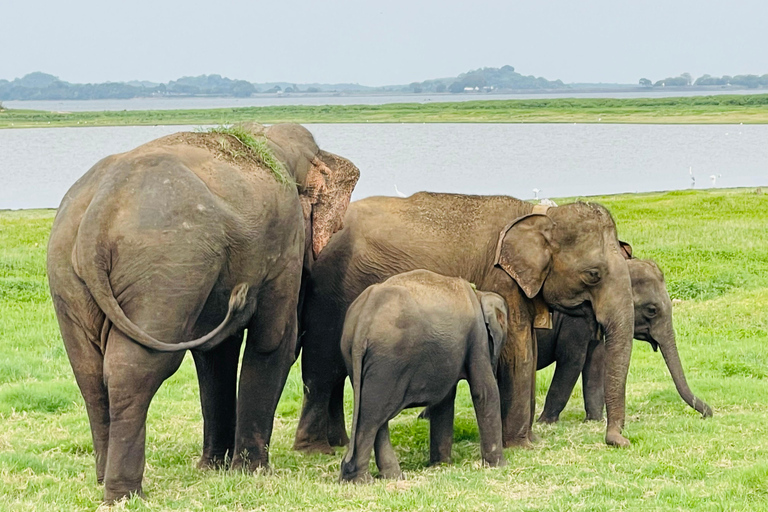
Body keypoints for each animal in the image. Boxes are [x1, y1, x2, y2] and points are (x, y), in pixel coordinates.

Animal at [46, 123, 359, 502]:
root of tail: (99, 213)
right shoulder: (285, 241)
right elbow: (272, 342)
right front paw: (254, 472)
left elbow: (215, 355)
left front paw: (215, 468)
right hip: (167, 265)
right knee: (137, 368)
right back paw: (125, 493)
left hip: (67, 273)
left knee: (89, 374)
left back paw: (102, 479)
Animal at [294, 193, 635, 455]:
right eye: (593, 274)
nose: (620, 442)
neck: (538, 214)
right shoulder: (500, 279)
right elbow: (519, 353)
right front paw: (522, 446)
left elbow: (530, 348)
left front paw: (531, 440)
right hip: (329, 293)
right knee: (322, 367)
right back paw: (314, 450)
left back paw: (338, 442)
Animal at [339, 270, 508, 482]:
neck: (479, 294)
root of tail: (364, 316)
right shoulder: (477, 337)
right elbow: (484, 391)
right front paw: (499, 465)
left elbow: (444, 401)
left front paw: (441, 464)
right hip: (389, 360)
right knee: (372, 417)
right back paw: (362, 480)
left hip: (353, 353)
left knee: (374, 412)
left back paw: (389, 476)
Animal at [536, 258, 713, 423]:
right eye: (651, 310)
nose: (707, 414)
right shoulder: (574, 319)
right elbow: (572, 360)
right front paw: (545, 422)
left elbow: (596, 360)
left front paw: (593, 420)